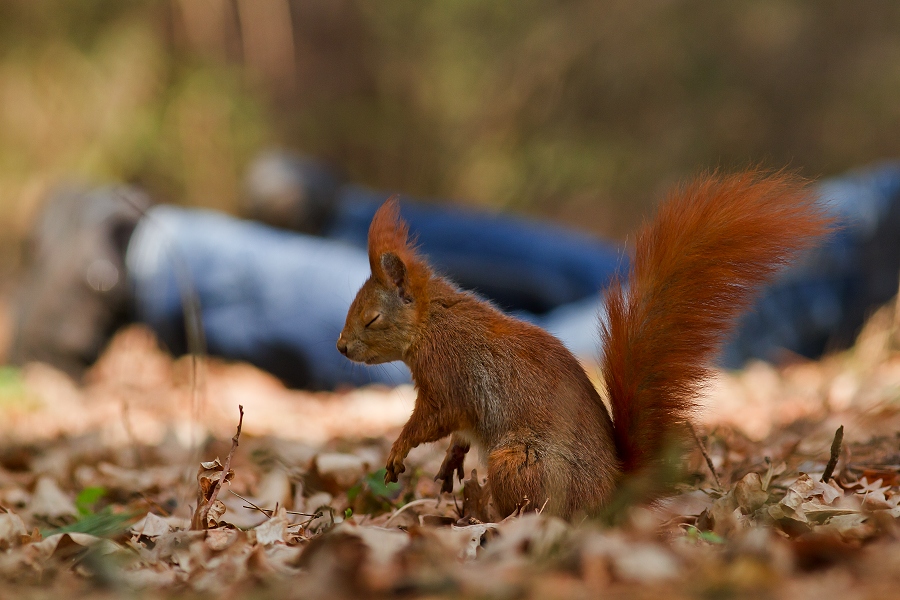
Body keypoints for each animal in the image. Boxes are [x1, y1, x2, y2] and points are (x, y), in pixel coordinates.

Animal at [336, 171, 828, 516]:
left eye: (372, 318)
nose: (341, 348)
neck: (433, 321)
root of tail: (613, 493)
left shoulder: (446, 374)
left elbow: (432, 418)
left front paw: (399, 449)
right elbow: (457, 431)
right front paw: (450, 461)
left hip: (519, 463)